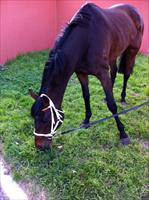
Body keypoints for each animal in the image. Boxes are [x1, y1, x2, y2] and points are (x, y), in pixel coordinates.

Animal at [28, 3, 143, 150]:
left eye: (46, 119)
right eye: (33, 117)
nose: (40, 146)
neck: (86, 40)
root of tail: (135, 10)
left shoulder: (102, 74)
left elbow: (112, 105)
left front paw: (123, 133)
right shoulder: (81, 73)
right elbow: (86, 96)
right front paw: (87, 120)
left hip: (132, 50)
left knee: (127, 74)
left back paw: (123, 97)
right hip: (113, 54)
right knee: (114, 72)